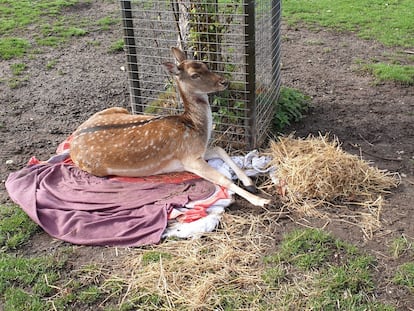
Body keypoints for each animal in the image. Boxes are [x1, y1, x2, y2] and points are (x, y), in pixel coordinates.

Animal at [69, 47, 270, 207]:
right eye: (194, 75)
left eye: (205, 64)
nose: (224, 81)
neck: (195, 126)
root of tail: (72, 143)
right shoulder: (189, 158)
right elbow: (224, 178)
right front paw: (260, 200)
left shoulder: (196, 151)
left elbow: (220, 148)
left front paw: (250, 183)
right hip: (96, 168)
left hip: (118, 109)